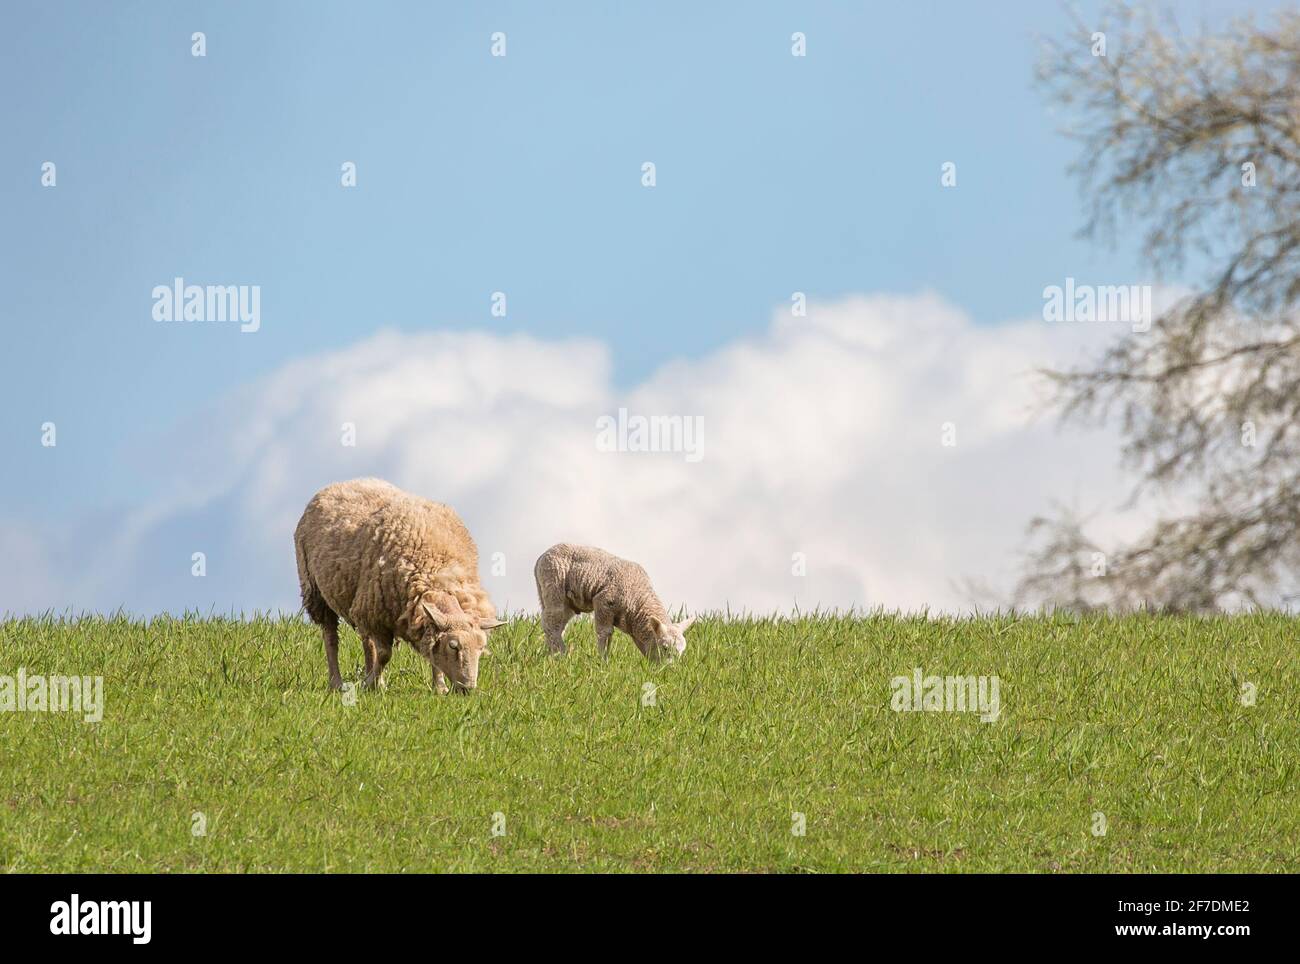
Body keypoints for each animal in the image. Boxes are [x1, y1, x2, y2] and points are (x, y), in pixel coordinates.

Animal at [294, 478, 506, 694]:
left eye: (481, 648)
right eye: (453, 646)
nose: (468, 689)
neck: (436, 572)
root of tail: (341, 484)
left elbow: (432, 655)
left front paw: (439, 688)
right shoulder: (378, 615)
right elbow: (385, 655)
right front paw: (371, 683)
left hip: (361, 602)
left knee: (366, 641)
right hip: (316, 591)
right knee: (331, 637)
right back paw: (337, 682)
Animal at [533, 543, 695, 660]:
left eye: (682, 651)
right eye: (665, 647)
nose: (669, 671)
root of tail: (541, 558)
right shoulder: (604, 602)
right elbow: (604, 633)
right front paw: (603, 660)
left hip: (566, 602)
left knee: (557, 625)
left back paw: (552, 654)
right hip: (554, 587)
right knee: (551, 623)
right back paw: (561, 654)